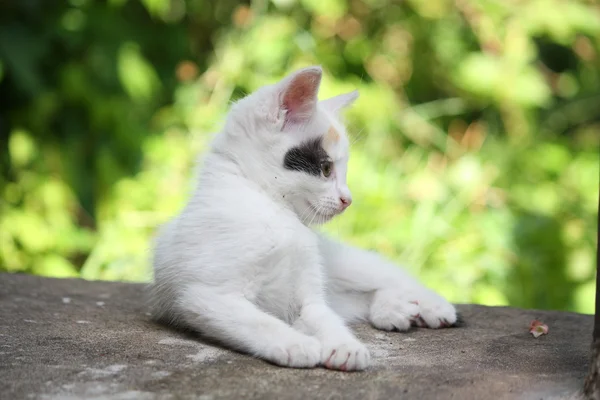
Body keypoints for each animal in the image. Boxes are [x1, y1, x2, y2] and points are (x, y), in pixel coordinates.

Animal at [149, 66, 454, 372]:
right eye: (326, 168)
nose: (348, 199)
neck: (274, 211)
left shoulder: (309, 298)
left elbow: (325, 319)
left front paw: (345, 345)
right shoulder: (206, 295)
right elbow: (259, 321)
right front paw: (295, 344)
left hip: (341, 263)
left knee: (389, 275)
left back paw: (431, 306)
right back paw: (393, 310)